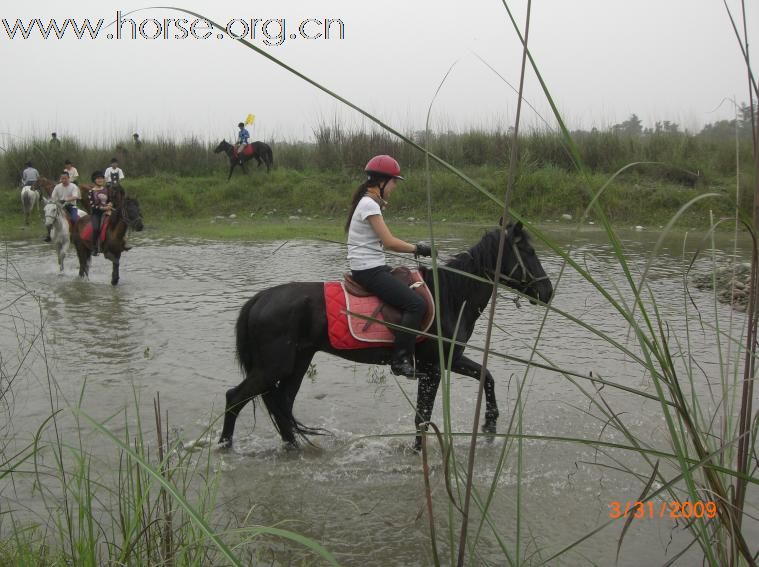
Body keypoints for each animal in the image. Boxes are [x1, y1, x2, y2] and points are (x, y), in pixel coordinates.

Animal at [218, 223, 552, 452]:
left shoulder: (449, 360)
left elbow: (487, 376)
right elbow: (423, 415)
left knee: (282, 404)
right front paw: (419, 454)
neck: (451, 295)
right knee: (235, 398)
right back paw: (225, 447)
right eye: (529, 252)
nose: (548, 291)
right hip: (273, 367)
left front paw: (491, 422)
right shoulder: (433, 367)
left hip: (297, 362)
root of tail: (260, 299)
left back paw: (293, 448)